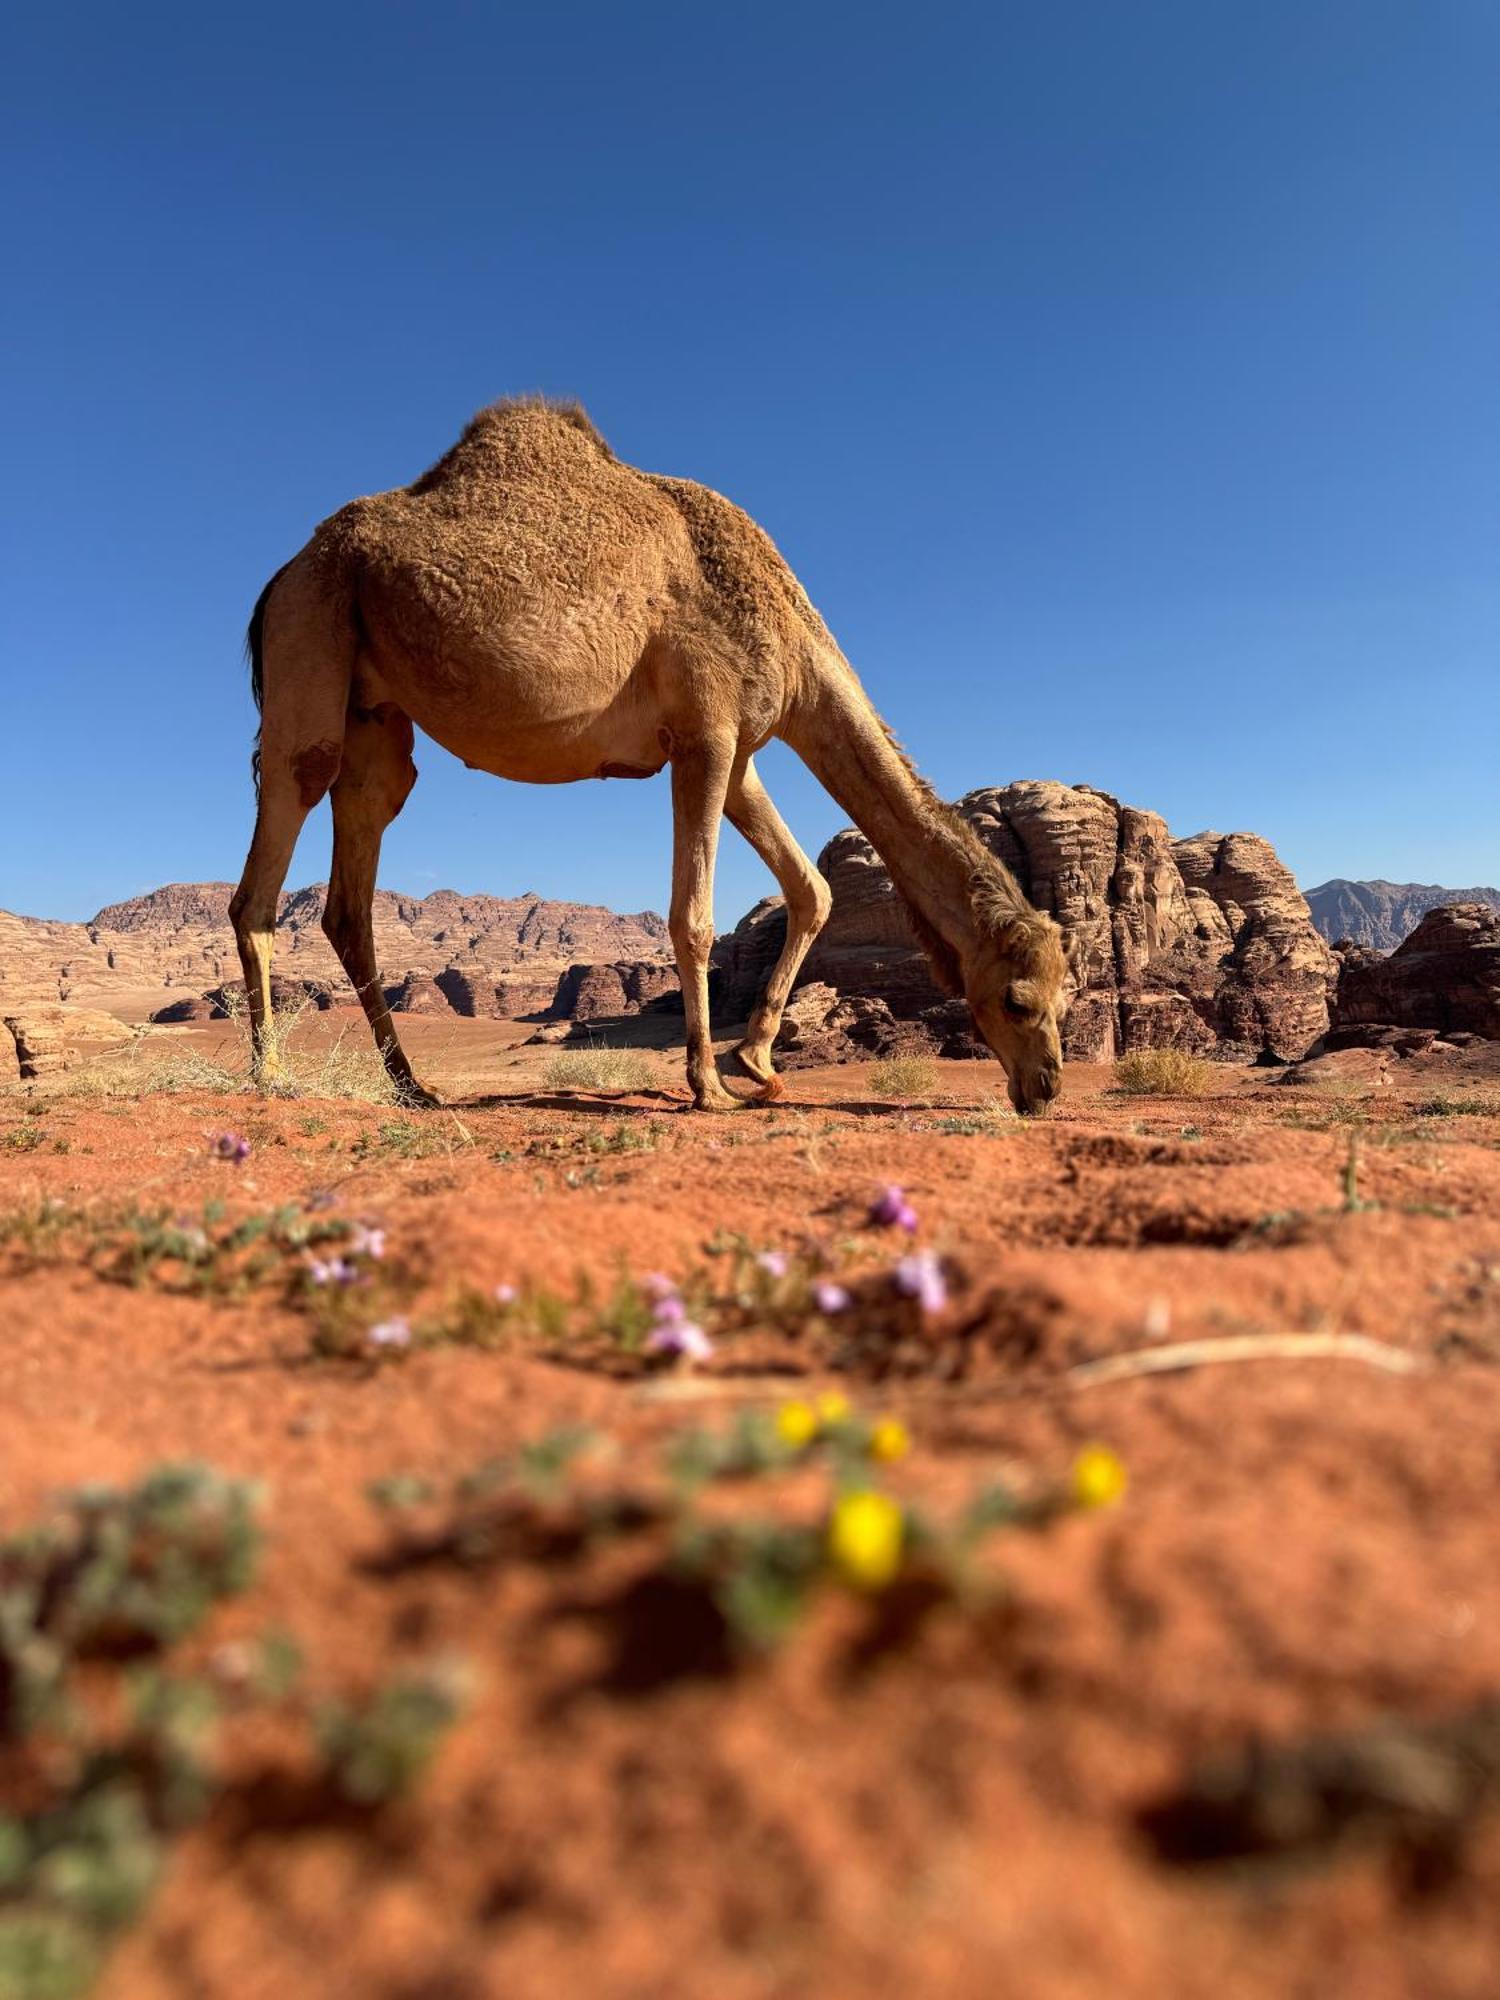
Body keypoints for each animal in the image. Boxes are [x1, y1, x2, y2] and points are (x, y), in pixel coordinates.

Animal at [232, 390, 1072, 1112]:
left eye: (1067, 993)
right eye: (1017, 998)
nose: (1046, 1087)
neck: (790, 639)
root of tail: (279, 578)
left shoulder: (739, 750)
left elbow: (811, 890)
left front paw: (757, 1063)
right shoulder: (704, 730)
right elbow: (693, 915)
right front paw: (709, 1085)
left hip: (374, 715)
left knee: (353, 890)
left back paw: (412, 1084)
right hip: (311, 632)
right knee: (277, 838)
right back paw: (271, 1075)